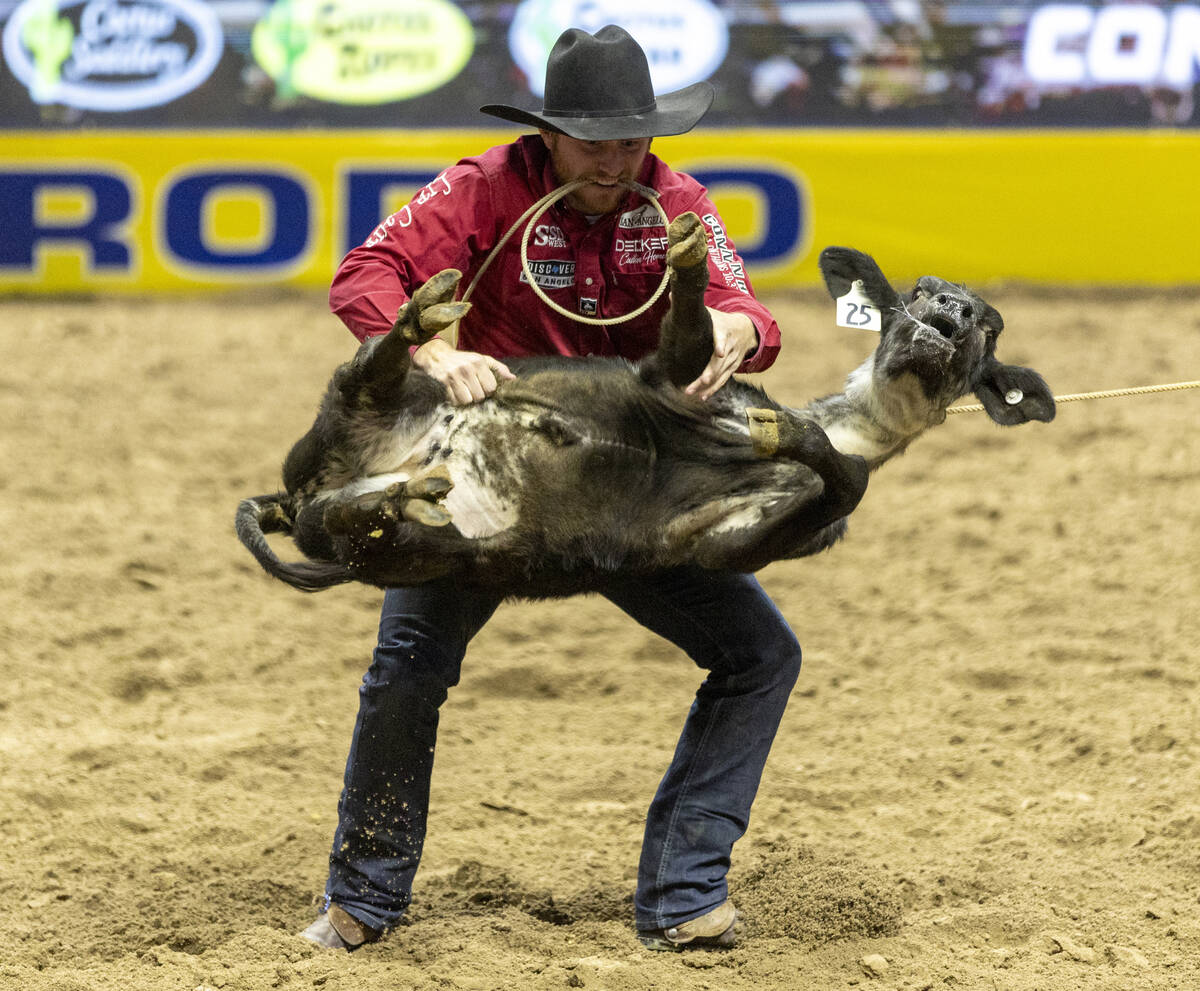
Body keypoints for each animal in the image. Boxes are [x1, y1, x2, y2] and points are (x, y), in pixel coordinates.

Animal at [234, 209, 1051, 595]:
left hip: (409, 547)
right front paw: (685, 256)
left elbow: (844, 479)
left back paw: (409, 492)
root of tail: (292, 491)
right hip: (371, 400)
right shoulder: (669, 377)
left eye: (990, 325)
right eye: (918, 288)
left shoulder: (734, 543)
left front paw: (784, 432)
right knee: (373, 368)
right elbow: (691, 341)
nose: (949, 310)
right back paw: (422, 316)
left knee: (348, 519)